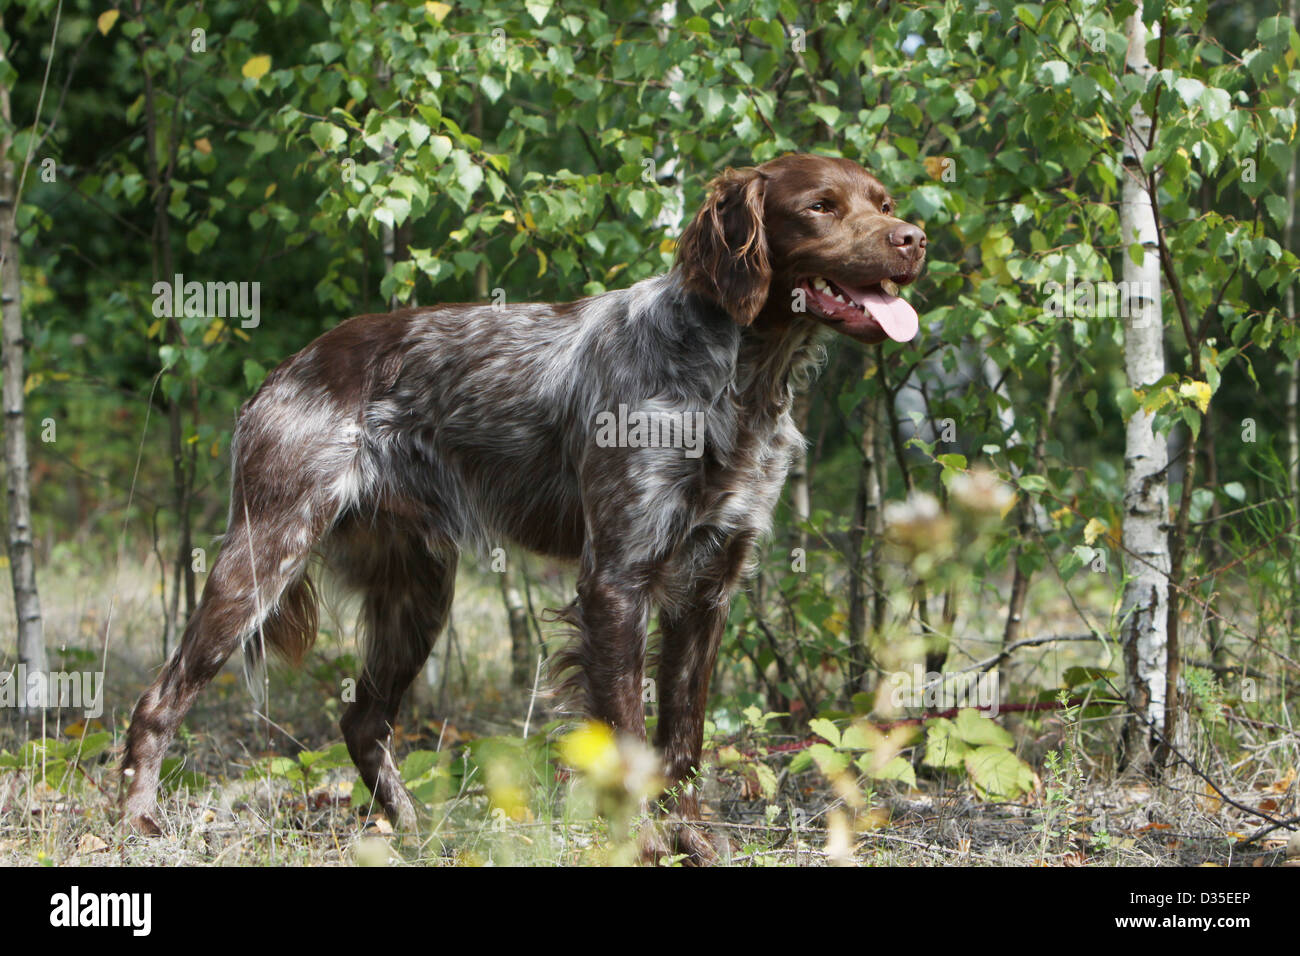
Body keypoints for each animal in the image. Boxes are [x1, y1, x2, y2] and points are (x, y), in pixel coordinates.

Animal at [124, 153, 925, 863]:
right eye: (820, 206)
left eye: (883, 202)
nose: (915, 238)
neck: (736, 378)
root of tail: (283, 373)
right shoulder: (617, 581)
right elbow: (629, 742)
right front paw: (641, 845)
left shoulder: (707, 589)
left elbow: (683, 740)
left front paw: (694, 841)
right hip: (265, 553)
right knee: (160, 698)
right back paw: (138, 823)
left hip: (419, 590)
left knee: (362, 720)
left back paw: (415, 832)